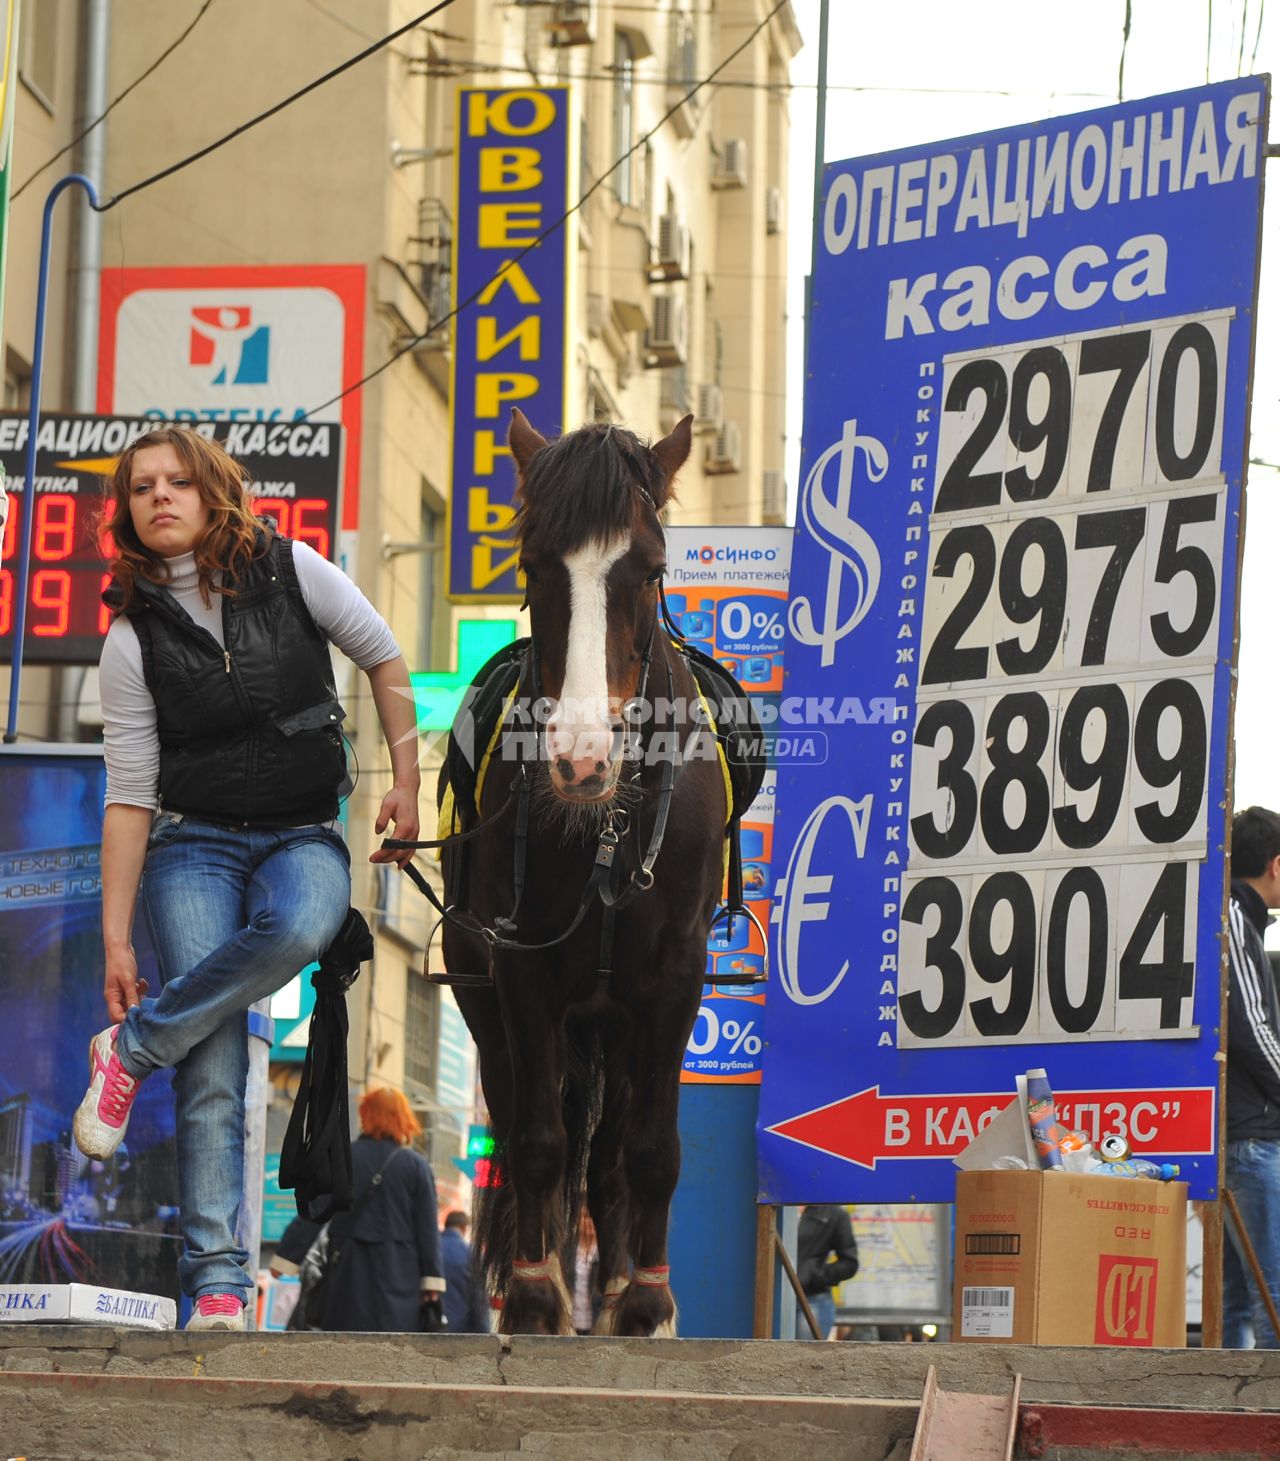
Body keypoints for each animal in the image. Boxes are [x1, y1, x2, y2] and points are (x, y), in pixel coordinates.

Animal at [441, 403, 730, 1338]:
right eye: (535, 564)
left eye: (651, 567)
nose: (579, 759)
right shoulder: (521, 966)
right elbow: (536, 1140)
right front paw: (536, 1295)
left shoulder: (676, 976)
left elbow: (651, 1148)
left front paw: (647, 1300)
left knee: (609, 1156)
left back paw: (614, 1289)